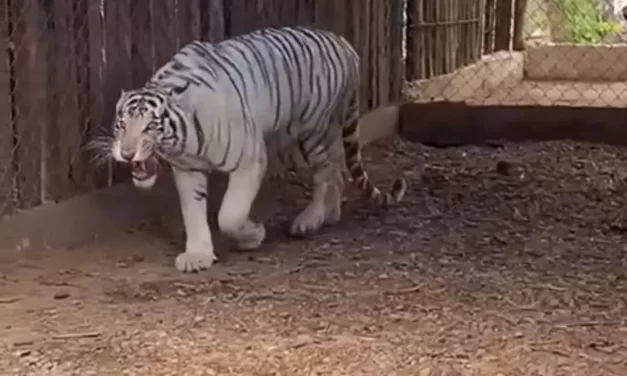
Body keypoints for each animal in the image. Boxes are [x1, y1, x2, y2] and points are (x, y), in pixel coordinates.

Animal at [91, 26, 410, 274]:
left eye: (150, 126)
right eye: (121, 124)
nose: (127, 153)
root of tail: (345, 44)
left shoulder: (249, 159)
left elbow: (230, 214)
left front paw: (253, 236)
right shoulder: (187, 169)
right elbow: (193, 212)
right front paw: (198, 255)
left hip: (314, 131)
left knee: (327, 172)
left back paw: (311, 219)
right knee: (338, 169)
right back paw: (329, 214)